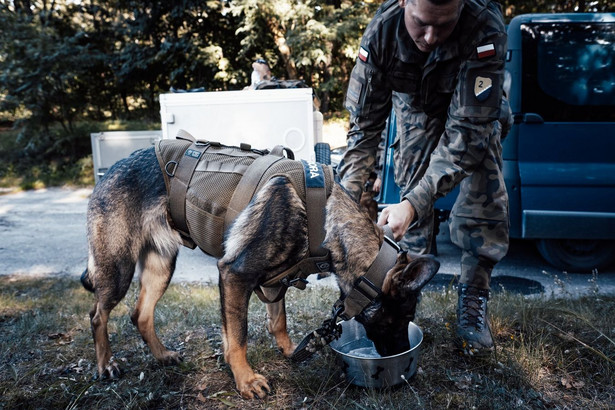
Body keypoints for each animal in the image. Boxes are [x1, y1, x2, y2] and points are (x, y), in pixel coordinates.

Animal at [82, 143, 440, 398]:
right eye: (402, 318)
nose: (403, 359)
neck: (325, 220)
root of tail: (107, 174)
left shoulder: (272, 282)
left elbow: (276, 320)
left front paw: (289, 349)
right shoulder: (234, 275)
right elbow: (238, 336)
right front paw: (245, 379)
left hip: (161, 266)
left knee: (140, 315)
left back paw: (162, 355)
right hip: (118, 268)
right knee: (98, 314)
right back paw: (106, 364)